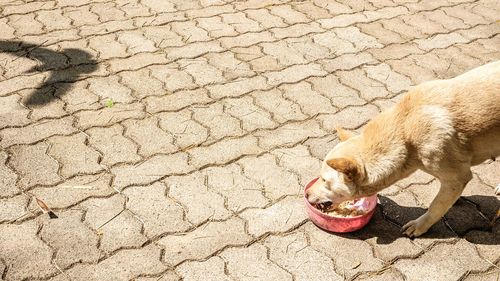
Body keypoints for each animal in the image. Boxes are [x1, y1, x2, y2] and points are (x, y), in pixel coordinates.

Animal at [304, 60, 500, 236]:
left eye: (324, 180)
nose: (305, 194)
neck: (405, 131)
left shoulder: (457, 176)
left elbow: (436, 206)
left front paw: (421, 225)